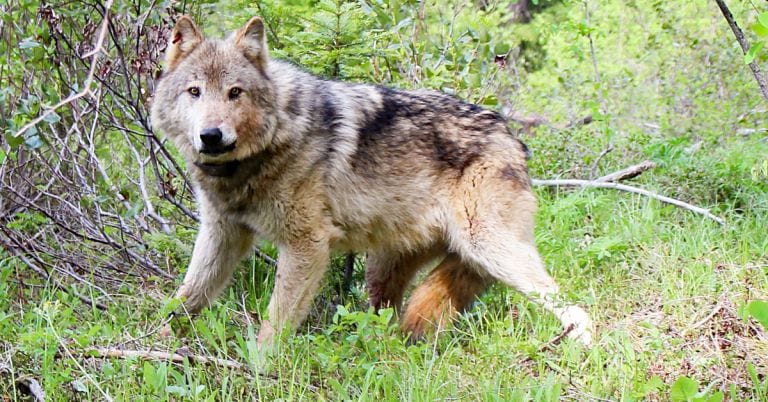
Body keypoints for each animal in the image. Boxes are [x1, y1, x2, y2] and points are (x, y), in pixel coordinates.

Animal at [150, 16, 593, 346]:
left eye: (235, 93)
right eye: (194, 91)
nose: (211, 135)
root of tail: (512, 137)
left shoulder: (307, 246)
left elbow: (273, 327)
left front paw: (262, 369)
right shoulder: (221, 234)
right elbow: (184, 299)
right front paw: (153, 344)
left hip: (490, 249)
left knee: (572, 305)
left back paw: (582, 343)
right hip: (384, 272)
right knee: (388, 323)